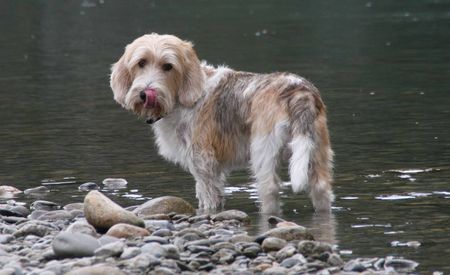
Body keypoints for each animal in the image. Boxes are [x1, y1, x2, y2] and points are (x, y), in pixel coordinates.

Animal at [110, 33, 334, 215]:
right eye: (141, 63)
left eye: (168, 66)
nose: (145, 93)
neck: (186, 98)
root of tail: (299, 92)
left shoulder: (203, 164)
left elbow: (208, 198)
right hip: (317, 150)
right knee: (321, 189)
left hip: (264, 151)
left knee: (269, 188)